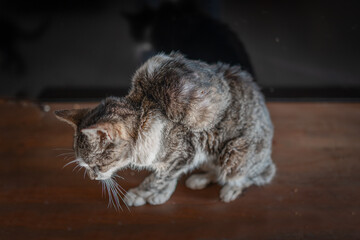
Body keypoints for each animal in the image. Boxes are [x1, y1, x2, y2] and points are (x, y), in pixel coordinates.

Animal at [54, 52, 276, 208]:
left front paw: (143, 192)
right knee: (216, 169)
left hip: (234, 153)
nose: (93, 178)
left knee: (256, 174)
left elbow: (158, 179)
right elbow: (166, 177)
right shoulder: (183, 157)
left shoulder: (184, 154)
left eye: (97, 166)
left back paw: (231, 189)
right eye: (85, 166)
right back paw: (200, 178)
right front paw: (160, 193)